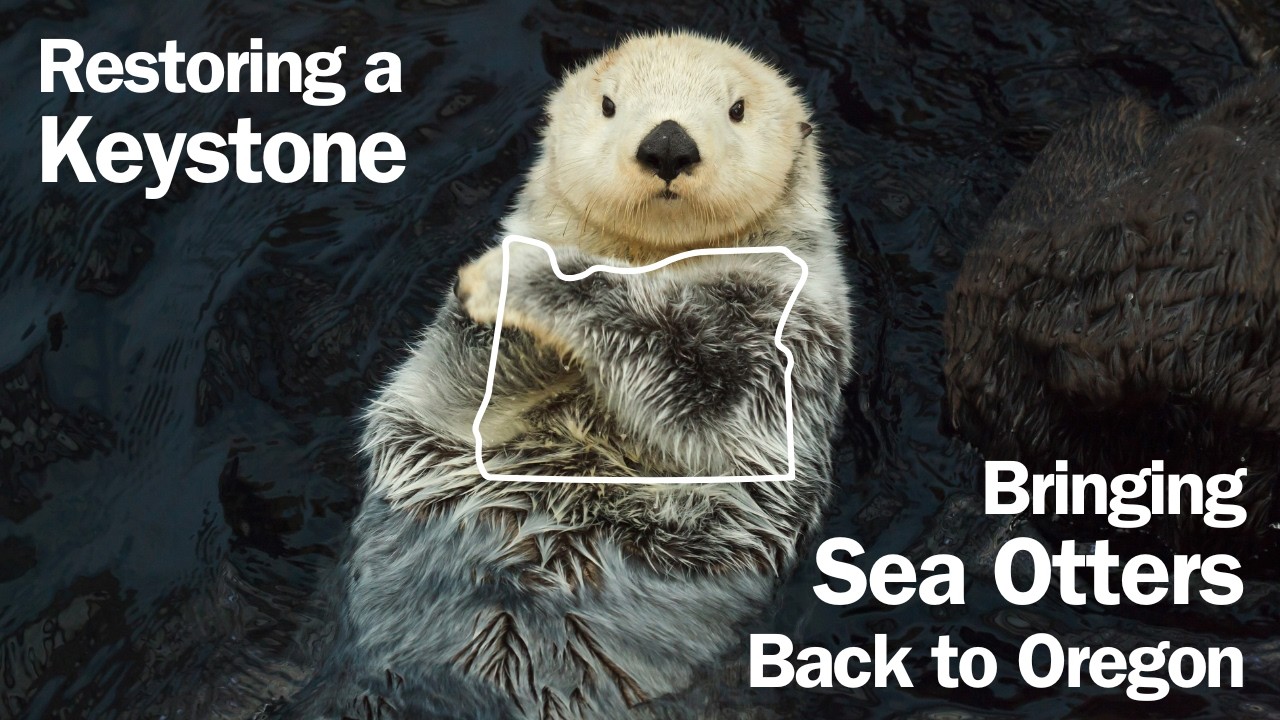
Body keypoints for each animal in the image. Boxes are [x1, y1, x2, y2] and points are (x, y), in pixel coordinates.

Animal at [277, 32, 853, 719]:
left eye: (737, 110)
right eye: (609, 104)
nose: (668, 144)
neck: (650, 264)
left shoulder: (782, 341)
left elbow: (702, 392)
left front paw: (532, 278)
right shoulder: (443, 391)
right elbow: (452, 390)